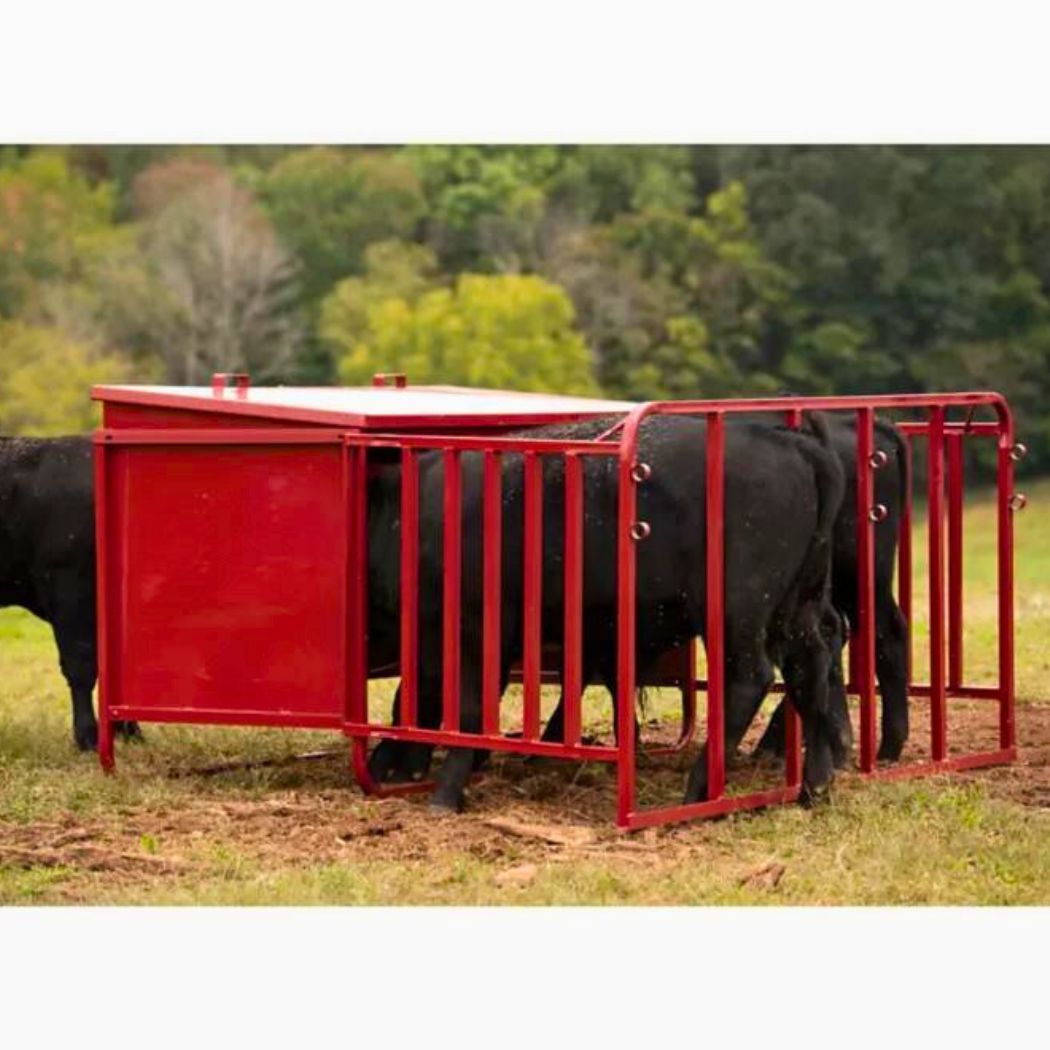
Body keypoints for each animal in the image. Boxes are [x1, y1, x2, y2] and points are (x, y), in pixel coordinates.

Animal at [364, 413, 847, 813]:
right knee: (810, 668)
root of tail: (790, 443)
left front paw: (443, 793)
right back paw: (814, 786)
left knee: (751, 678)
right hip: (797, 607)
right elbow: (419, 696)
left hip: (735, 611)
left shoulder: (478, 624)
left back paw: (698, 792)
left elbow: (465, 708)